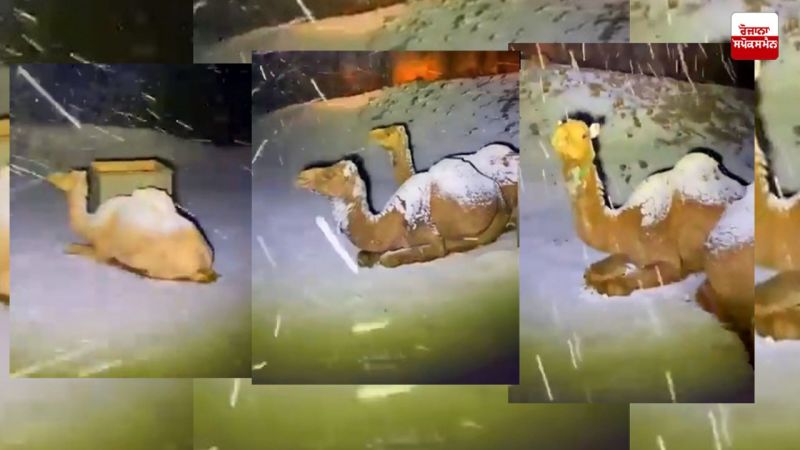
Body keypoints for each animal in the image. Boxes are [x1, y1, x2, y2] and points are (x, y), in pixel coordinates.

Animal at [47, 170, 218, 283]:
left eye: (70, 174)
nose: (83, 171)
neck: (90, 224)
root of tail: (204, 263)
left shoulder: (102, 250)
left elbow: (82, 250)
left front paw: (70, 248)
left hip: (163, 269)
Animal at [295, 157, 510, 268]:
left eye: (328, 174)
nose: (301, 176)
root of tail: (495, 190)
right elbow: (363, 256)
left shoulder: (429, 235)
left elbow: (388, 258)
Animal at [550, 116, 747, 296]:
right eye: (560, 129)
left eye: (583, 135)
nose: (557, 139)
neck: (626, 220)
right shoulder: (630, 251)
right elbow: (592, 271)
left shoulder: (666, 257)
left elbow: (618, 285)